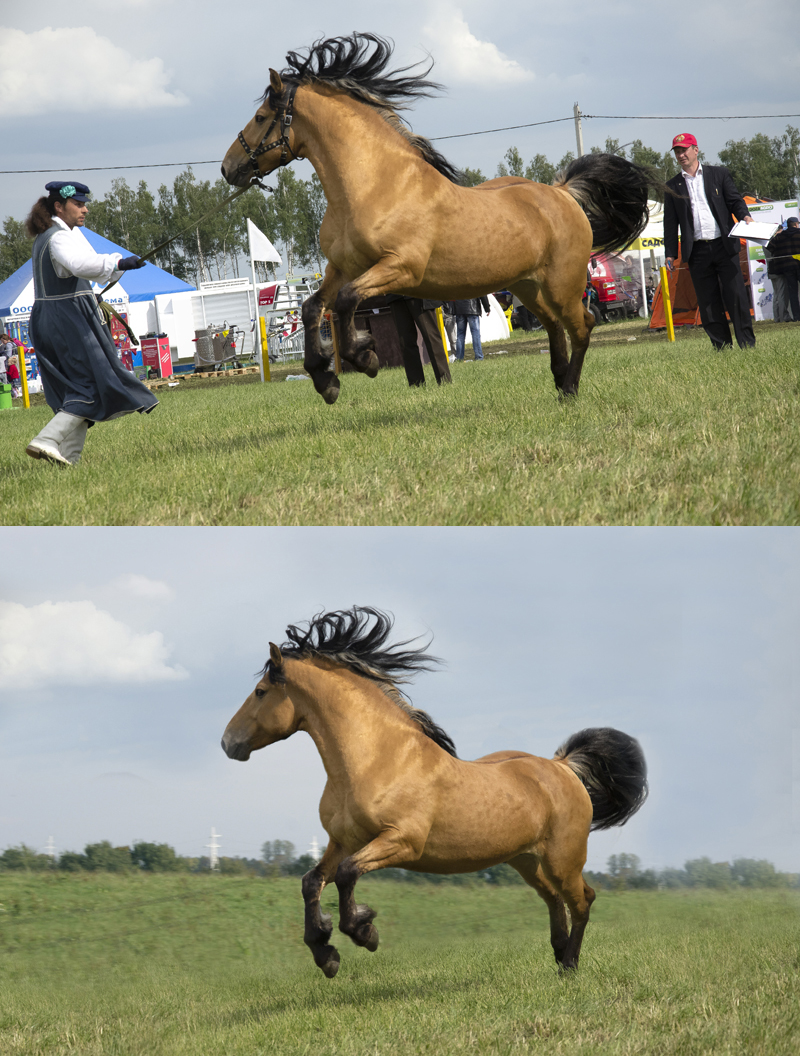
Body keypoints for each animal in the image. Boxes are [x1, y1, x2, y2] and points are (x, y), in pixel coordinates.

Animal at [220, 33, 658, 403]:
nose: (228, 168)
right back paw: (559, 379)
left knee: (582, 325)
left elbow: (345, 302)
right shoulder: (342, 267)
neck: (375, 186)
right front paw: (325, 378)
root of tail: (563, 194)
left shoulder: (400, 268)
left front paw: (364, 357)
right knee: (555, 327)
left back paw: (568, 389)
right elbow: (314, 307)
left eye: (261, 116)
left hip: (562, 284)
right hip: (528, 286)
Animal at [222, 608, 650, 975]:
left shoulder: (401, 842)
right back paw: (560, 956)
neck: (378, 760)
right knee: (554, 899)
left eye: (260, 691)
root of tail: (562, 766)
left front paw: (364, 931)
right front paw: (325, 952)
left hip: (563, 859)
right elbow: (312, 881)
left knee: (582, 900)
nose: (228, 743)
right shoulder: (342, 840)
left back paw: (570, 966)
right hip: (526, 861)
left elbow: (346, 874)